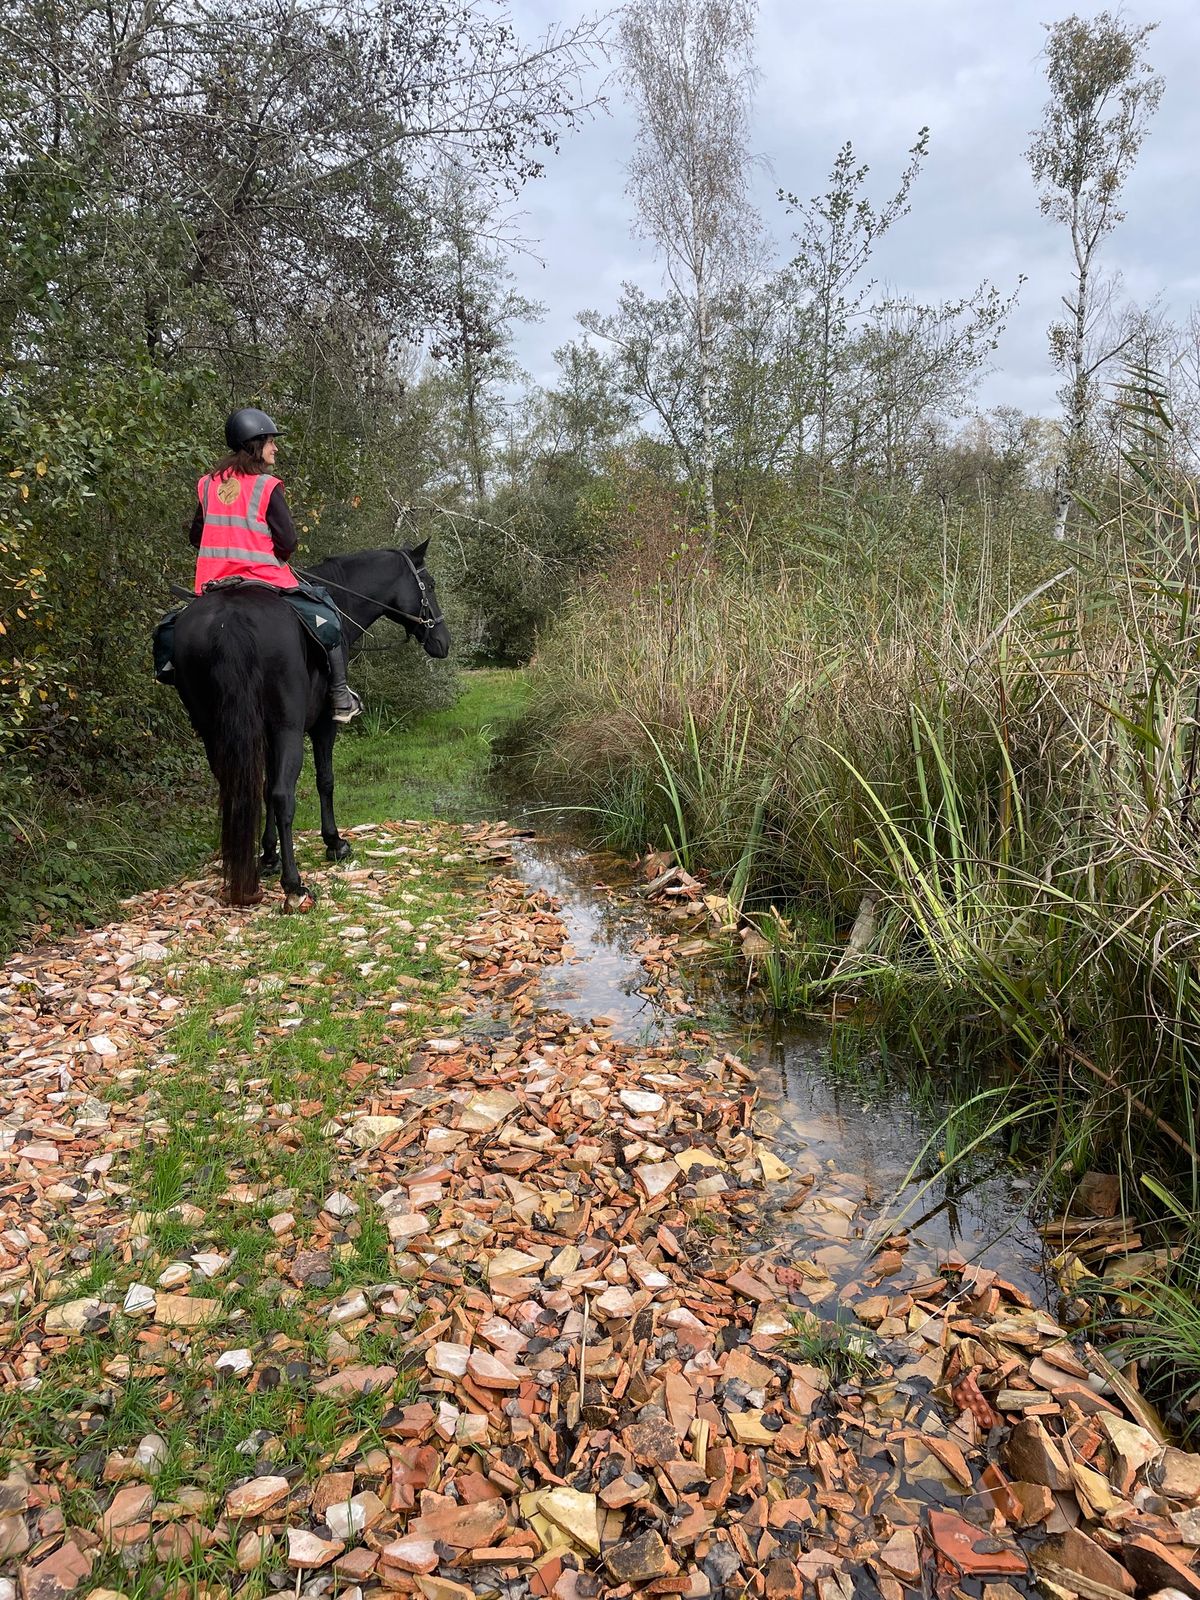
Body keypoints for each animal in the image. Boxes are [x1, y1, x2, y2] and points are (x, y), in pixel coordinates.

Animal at [171, 544, 448, 908]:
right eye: (429, 584)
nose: (443, 641)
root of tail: (229, 620)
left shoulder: (264, 736)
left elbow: (262, 788)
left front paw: (268, 854)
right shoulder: (322, 727)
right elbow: (324, 781)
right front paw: (334, 842)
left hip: (214, 733)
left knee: (241, 792)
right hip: (288, 729)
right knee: (283, 796)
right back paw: (294, 885)